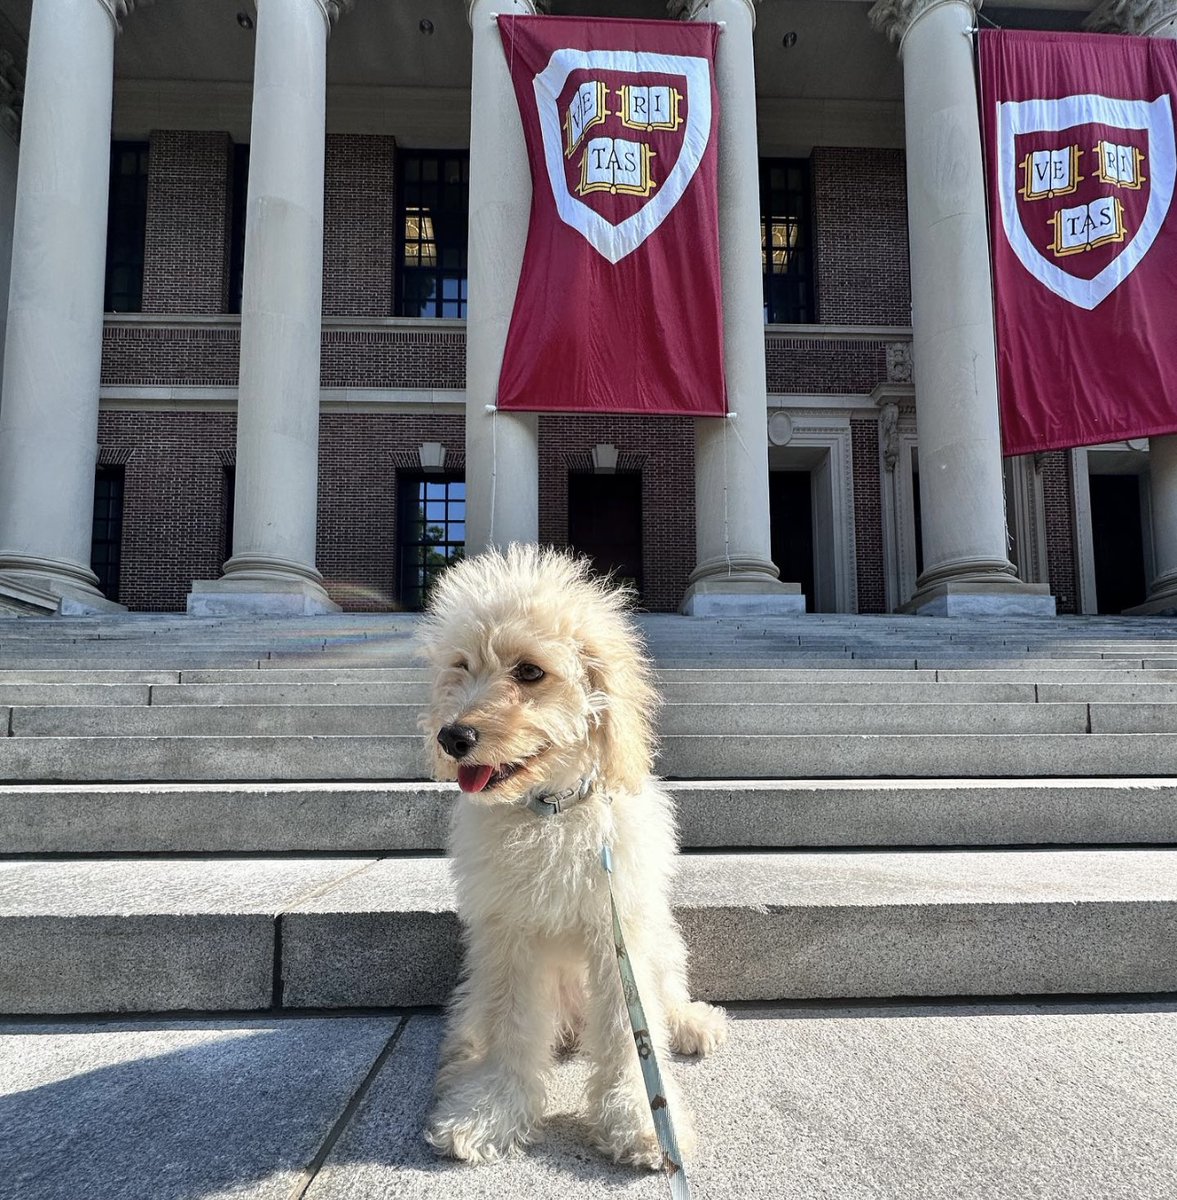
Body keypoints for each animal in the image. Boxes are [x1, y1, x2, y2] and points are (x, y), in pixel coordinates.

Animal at [417, 549, 719, 1166]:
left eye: (530, 672)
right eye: (461, 664)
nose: (453, 737)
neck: (550, 811)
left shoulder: (616, 927)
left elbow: (632, 1029)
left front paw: (643, 1120)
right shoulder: (507, 933)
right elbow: (510, 1023)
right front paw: (488, 1112)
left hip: (661, 939)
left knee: (665, 994)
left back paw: (690, 1023)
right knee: (480, 1017)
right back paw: (461, 1056)